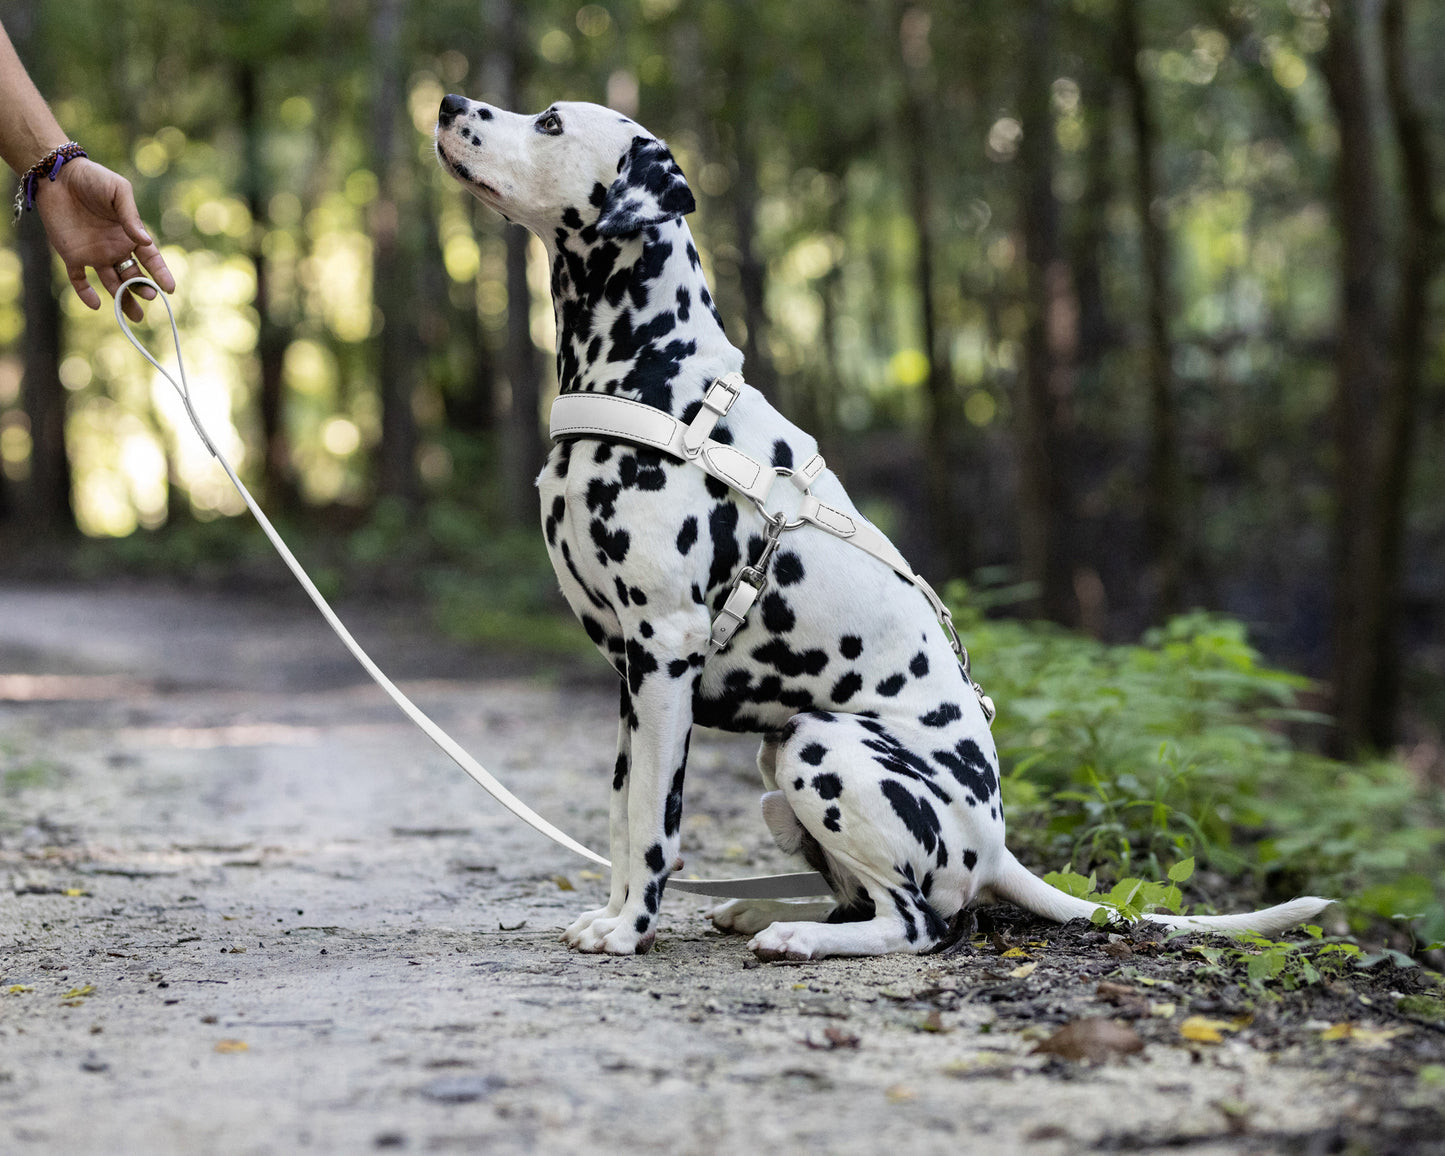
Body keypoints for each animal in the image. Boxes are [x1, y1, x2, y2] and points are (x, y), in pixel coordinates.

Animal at [430, 96, 1329, 959]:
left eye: (550, 123)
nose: (445, 103)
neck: (656, 376)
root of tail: (995, 847)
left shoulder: (664, 651)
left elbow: (656, 821)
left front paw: (629, 932)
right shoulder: (631, 675)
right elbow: (622, 814)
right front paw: (614, 915)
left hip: (821, 747)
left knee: (916, 923)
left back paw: (795, 936)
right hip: (779, 760)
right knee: (860, 898)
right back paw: (764, 913)